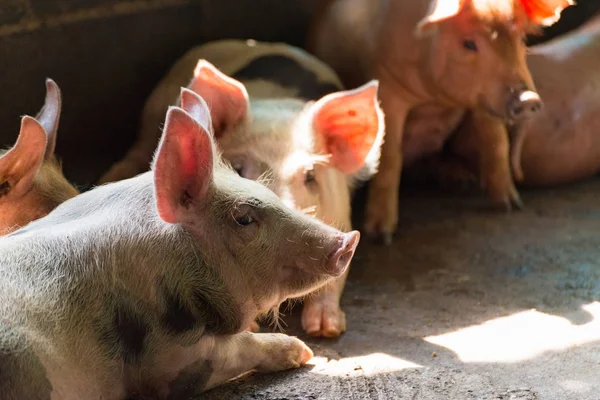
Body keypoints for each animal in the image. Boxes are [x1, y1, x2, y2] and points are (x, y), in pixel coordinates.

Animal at [96, 39, 382, 338]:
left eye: (310, 175)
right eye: (237, 168)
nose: (281, 210)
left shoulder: (339, 215)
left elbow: (335, 277)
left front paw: (325, 330)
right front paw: (253, 327)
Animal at [310, 0, 572, 242]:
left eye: (521, 38)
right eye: (468, 44)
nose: (529, 99)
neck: (435, 97)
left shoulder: (481, 101)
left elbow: (496, 142)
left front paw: (510, 205)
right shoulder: (387, 87)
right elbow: (390, 156)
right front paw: (381, 235)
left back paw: (461, 179)